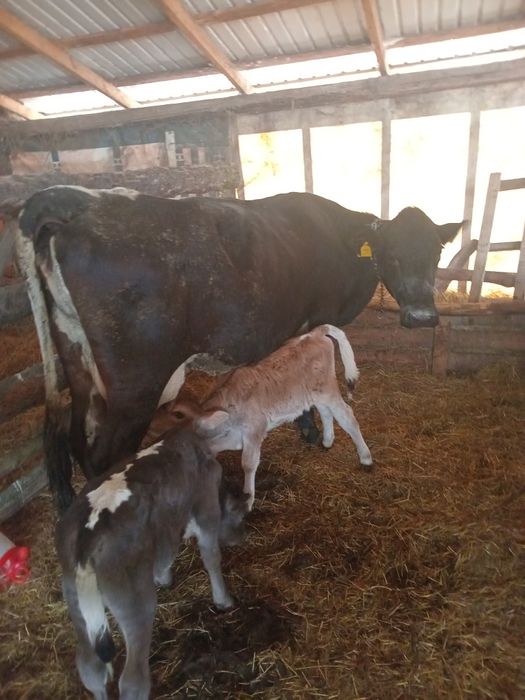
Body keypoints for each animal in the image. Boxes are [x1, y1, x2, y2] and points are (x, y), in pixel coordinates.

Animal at [56, 424, 248, 700]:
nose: (242, 536)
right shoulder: (206, 508)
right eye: (241, 516)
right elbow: (211, 556)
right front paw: (224, 600)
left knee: (91, 668)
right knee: (132, 682)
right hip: (135, 603)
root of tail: (87, 534)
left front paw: (164, 577)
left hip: (75, 602)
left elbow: (167, 551)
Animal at [170, 324, 372, 510]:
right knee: (326, 412)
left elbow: (248, 464)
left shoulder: (255, 430)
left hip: (327, 389)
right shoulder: (234, 436)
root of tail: (314, 333)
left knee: (346, 416)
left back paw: (365, 458)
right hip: (315, 394)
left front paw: (248, 499)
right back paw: (327, 441)